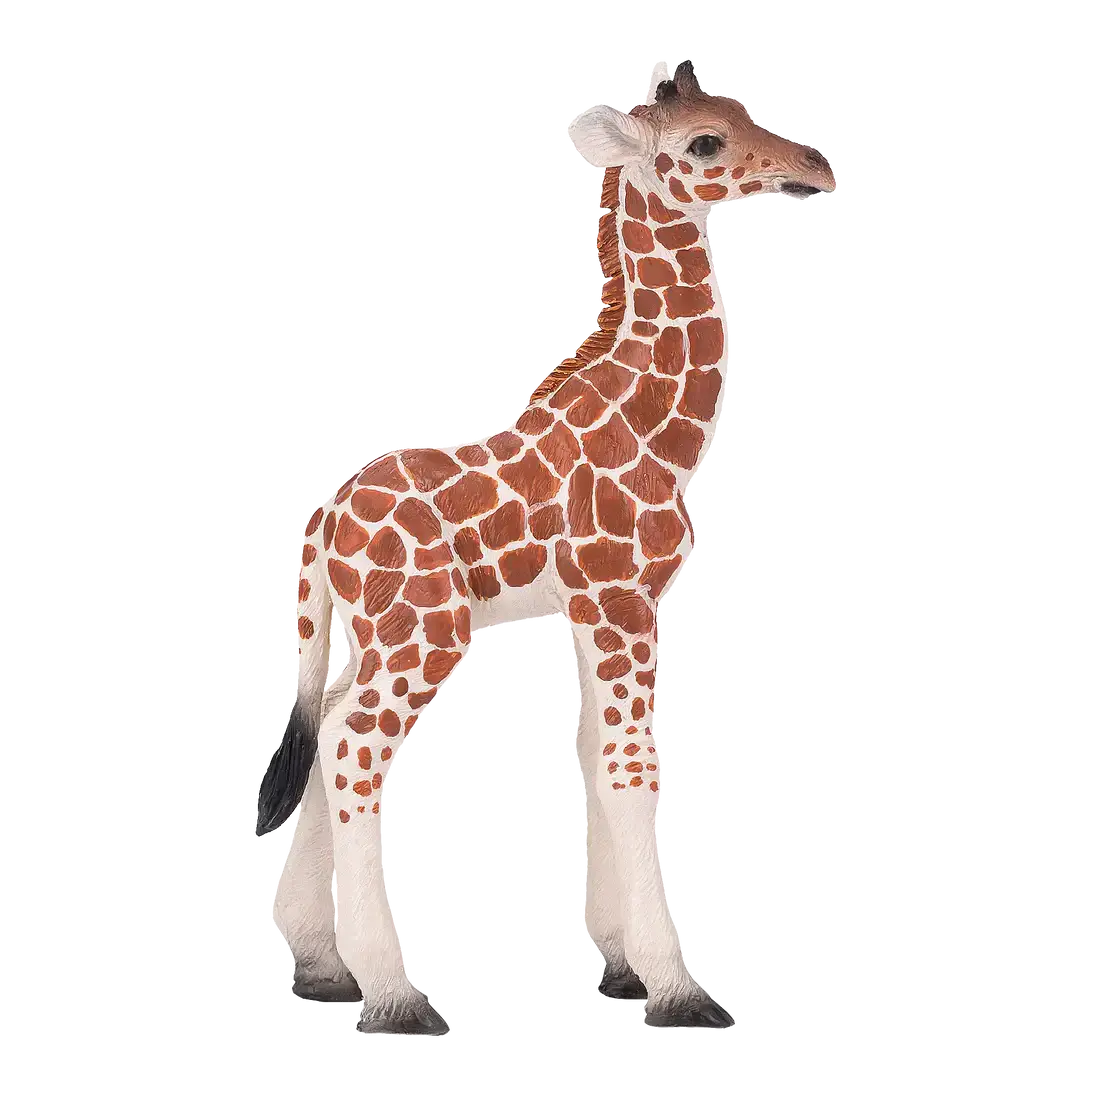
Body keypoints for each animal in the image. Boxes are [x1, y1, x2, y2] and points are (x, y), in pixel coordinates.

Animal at [260, 60, 838, 1035]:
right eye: (705, 143)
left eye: (746, 110)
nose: (819, 173)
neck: (660, 431)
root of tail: (324, 518)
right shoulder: (619, 599)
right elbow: (634, 766)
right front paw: (681, 991)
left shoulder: (595, 615)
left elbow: (593, 759)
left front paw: (620, 970)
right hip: (426, 630)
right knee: (351, 747)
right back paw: (396, 998)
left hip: (365, 632)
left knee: (322, 717)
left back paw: (320, 968)